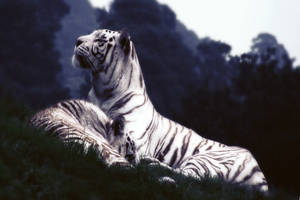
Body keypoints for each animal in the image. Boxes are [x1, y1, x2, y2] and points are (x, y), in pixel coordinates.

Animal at [73, 28, 270, 192]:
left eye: (100, 39)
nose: (77, 40)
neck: (102, 91)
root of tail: (261, 178)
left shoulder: (134, 139)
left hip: (208, 159)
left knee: (189, 176)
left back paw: (152, 164)